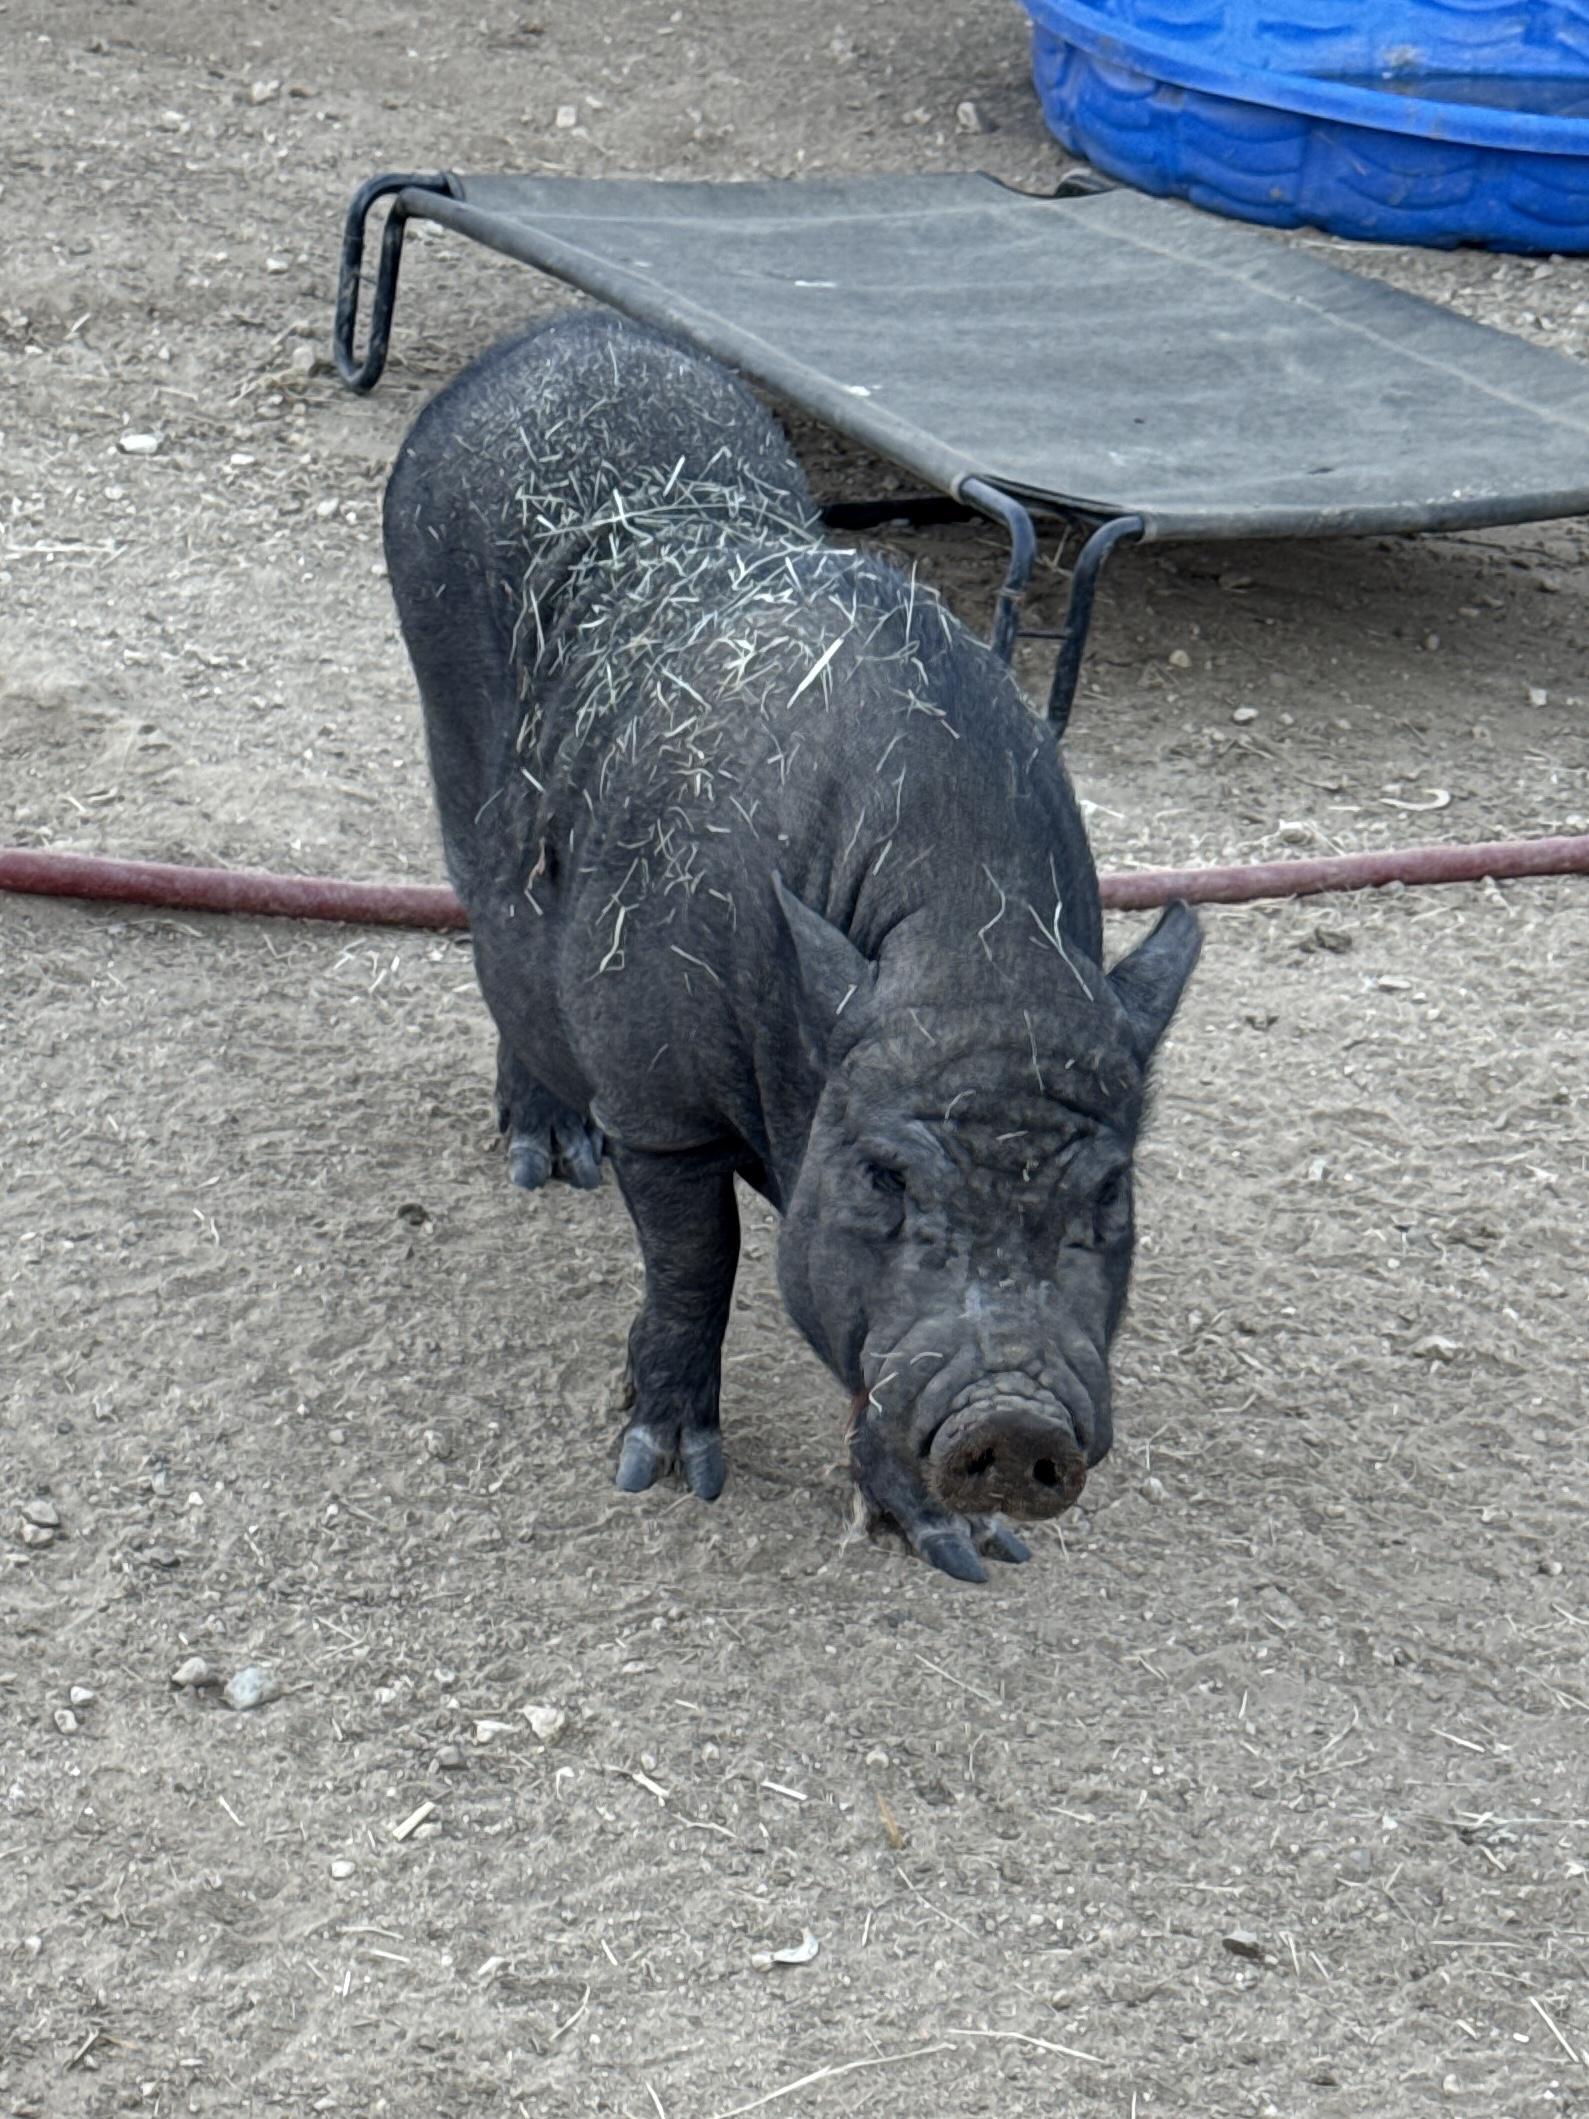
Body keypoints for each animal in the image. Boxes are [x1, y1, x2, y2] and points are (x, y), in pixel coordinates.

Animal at [383, 312, 1199, 1582]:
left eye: (1109, 1192)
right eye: (882, 1174)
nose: (1014, 1420)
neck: (970, 952)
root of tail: (561, 332)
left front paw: (962, 1555)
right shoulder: (658, 1097)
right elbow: (698, 1256)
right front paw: (665, 1472)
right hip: (453, 749)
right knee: (490, 939)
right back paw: (552, 1159)